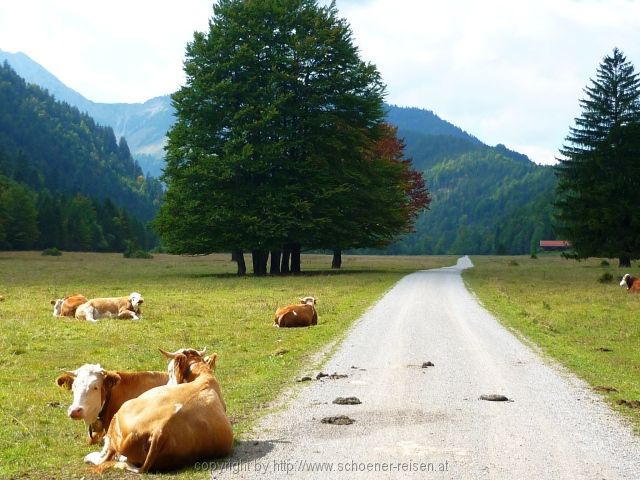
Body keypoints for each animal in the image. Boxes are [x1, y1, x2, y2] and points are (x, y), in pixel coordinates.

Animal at [85, 346, 232, 474]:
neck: (203, 376)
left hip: (117, 418)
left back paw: (89, 456)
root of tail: (159, 431)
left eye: (170, 371)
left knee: (104, 456)